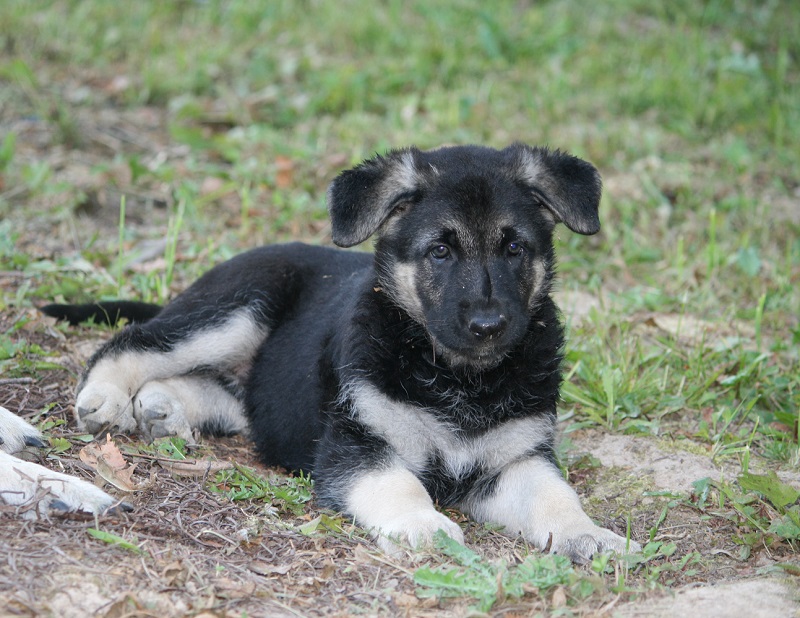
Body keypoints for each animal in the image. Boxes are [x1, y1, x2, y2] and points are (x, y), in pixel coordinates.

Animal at [47, 146, 640, 564]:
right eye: (440, 251)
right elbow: (398, 484)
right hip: (238, 308)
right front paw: (425, 527)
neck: (459, 378)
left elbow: (556, 498)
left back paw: (162, 405)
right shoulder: (357, 445)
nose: (489, 326)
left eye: (515, 248)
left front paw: (591, 535)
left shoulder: (517, 460)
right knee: (135, 340)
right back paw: (105, 396)